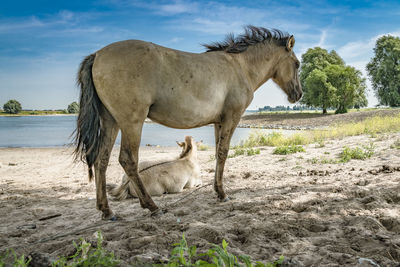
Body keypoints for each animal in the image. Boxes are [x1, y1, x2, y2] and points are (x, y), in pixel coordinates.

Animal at [75, 26, 302, 221]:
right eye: (297, 64)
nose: (298, 95)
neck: (239, 66)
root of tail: (98, 55)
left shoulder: (219, 122)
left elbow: (218, 152)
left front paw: (217, 191)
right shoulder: (232, 117)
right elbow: (223, 152)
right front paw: (222, 193)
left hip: (110, 121)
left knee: (101, 160)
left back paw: (107, 210)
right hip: (132, 122)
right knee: (128, 160)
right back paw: (152, 207)